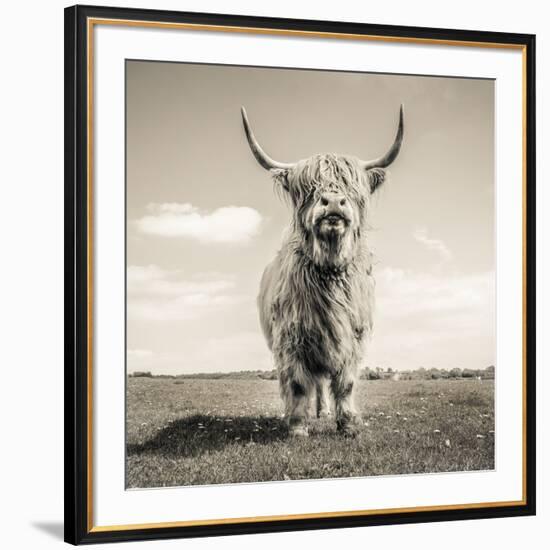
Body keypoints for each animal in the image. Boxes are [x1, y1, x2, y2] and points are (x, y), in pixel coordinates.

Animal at [242, 105, 406, 438]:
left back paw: (324, 412)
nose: (332, 203)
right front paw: (297, 426)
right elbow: (296, 383)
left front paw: (348, 424)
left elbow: (346, 383)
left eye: (353, 188)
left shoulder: (353, 338)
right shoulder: (291, 340)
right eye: (307, 188)